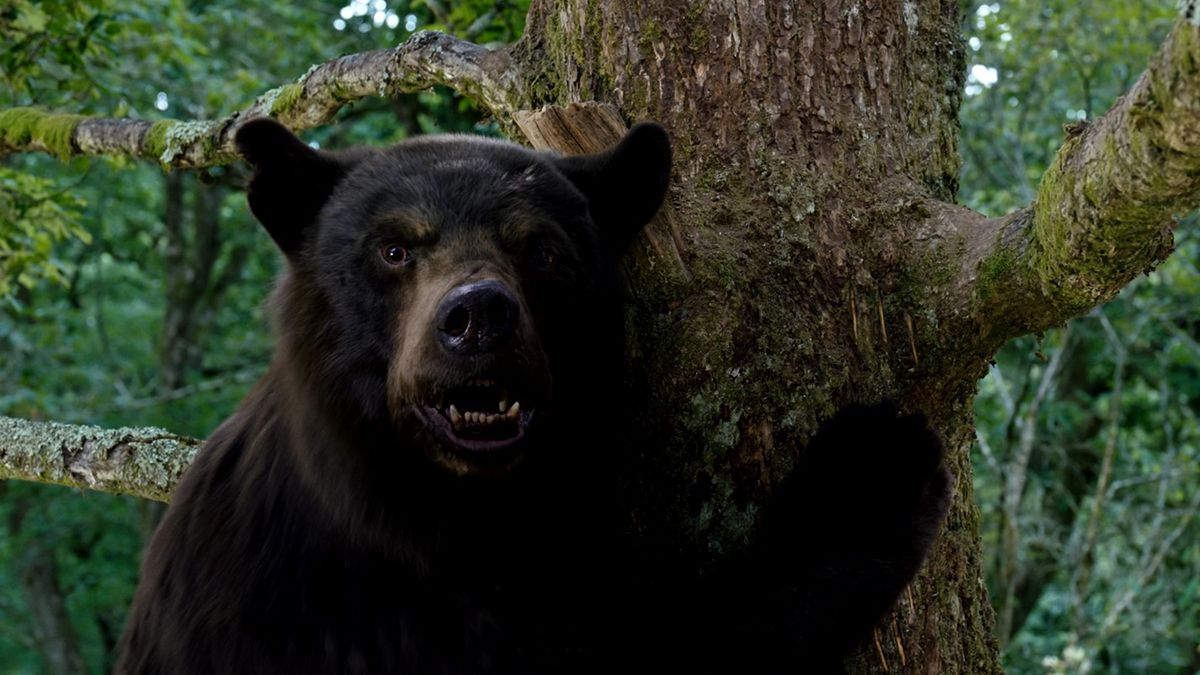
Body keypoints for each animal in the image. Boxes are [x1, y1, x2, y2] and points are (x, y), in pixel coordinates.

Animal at [117, 118, 950, 667]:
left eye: (544, 249)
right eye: (393, 248)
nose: (478, 316)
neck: (442, 520)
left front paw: (871, 466)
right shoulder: (258, 603)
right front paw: (872, 464)